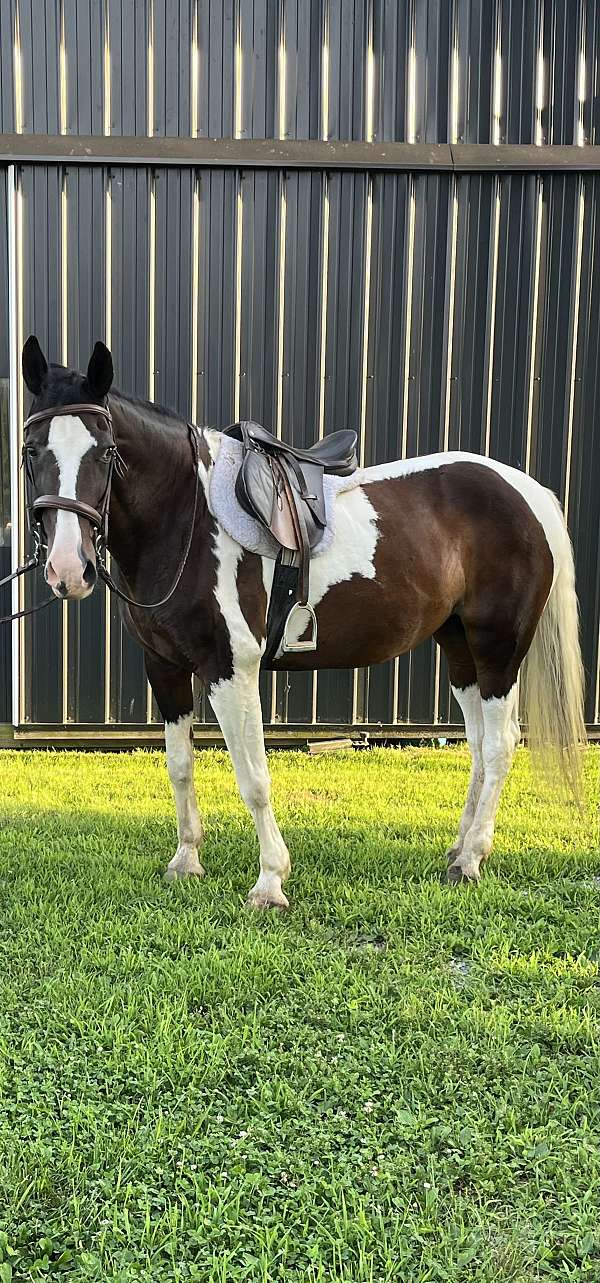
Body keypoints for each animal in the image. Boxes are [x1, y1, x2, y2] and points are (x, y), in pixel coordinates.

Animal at [20, 334, 586, 908]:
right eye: (30, 450)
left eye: (105, 452)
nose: (68, 570)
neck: (187, 520)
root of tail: (527, 491)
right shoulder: (165, 667)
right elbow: (179, 766)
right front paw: (186, 862)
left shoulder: (230, 669)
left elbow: (253, 778)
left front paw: (270, 882)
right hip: (460, 649)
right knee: (476, 745)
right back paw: (458, 850)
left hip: (499, 649)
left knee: (500, 744)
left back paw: (471, 859)